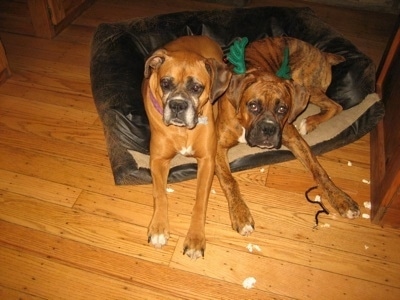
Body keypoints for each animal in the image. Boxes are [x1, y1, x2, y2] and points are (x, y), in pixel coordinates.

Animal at [143, 35, 231, 258]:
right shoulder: (157, 161)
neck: (182, 131)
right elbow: (160, 194)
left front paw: (195, 238)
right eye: (165, 83)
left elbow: (200, 201)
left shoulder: (207, 161)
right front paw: (158, 227)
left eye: (197, 88)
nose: (177, 105)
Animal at [216, 36, 360, 236]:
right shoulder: (216, 147)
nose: (268, 129)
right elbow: (229, 181)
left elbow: (319, 171)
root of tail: (322, 53)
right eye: (253, 106)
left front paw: (341, 198)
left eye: (282, 109)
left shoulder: (295, 139)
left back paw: (309, 121)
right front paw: (241, 214)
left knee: (336, 106)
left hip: (306, 85)